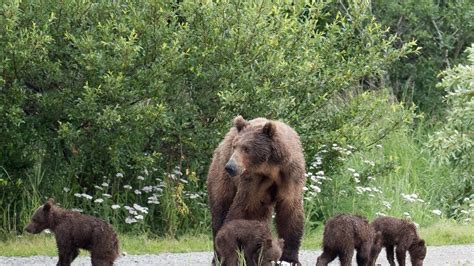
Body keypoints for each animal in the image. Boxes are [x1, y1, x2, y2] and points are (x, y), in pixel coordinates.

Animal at [208, 116, 308, 264]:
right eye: (235, 146)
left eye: (246, 148)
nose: (230, 167)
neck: (270, 168)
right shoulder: (253, 182)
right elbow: (245, 210)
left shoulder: (291, 176)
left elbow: (290, 212)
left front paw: (290, 258)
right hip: (221, 177)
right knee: (220, 210)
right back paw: (218, 256)